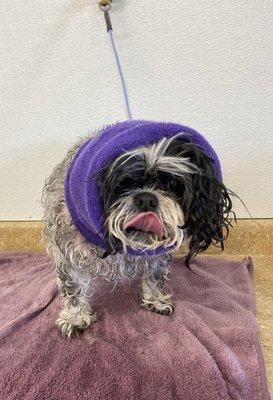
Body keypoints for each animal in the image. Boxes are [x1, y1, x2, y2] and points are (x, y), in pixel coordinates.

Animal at [41, 126, 233, 338]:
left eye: (171, 184)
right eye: (124, 184)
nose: (147, 199)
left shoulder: (157, 256)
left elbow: (155, 276)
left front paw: (156, 300)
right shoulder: (69, 254)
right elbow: (73, 287)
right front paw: (75, 317)